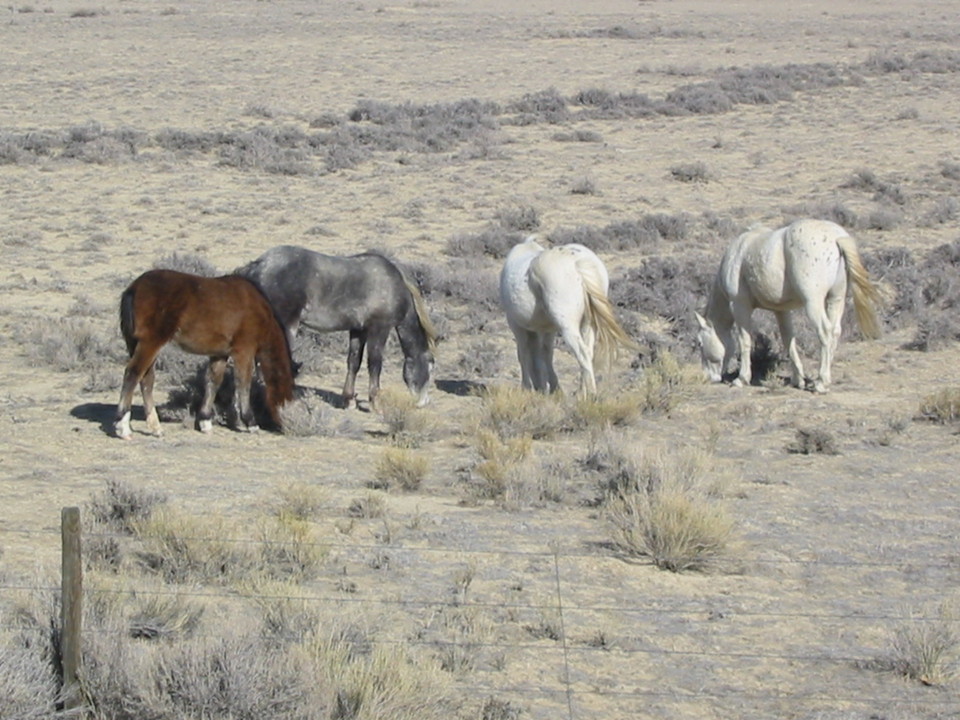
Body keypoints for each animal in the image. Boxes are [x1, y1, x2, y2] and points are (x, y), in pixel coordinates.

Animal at [114, 269, 295, 439]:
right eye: (286, 397)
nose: (285, 426)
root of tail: (135, 287)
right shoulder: (244, 351)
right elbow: (243, 384)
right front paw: (251, 423)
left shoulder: (220, 354)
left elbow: (213, 382)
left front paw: (205, 421)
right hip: (151, 343)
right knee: (133, 373)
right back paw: (123, 427)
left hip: (137, 344)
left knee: (146, 379)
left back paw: (155, 427)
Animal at [237, 245, 436, 410]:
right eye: (429, 367)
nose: (423, 402)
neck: (393, 285)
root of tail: (258, 265)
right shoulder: (379, 329)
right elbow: (375, 364)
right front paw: (376, 403)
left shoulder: (358, 330)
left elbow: (354, 362)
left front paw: (348, 399)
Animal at [499, 236, 635, 397]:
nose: (539, 388)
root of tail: (577, 263)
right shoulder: (548, 330)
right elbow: (546, 353)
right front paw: (554, 387)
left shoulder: (516, 325)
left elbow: (523, 354)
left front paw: (526, 388)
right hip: (587, 325)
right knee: (588, 352)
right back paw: (582, 392)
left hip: (568, 327)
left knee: (582, 353)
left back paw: (589, 395)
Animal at [695, 218, 882, 393]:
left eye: (700, 343)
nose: (708, 377)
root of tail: (837, 237)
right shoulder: (781, 310)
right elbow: (788, 340)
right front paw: (797, 379)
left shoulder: (739, 305)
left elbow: (744, 340)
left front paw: (741, 379)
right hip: (836, 299)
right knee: (835, 331)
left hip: (813, 302)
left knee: (825, 332)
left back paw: (821, 382)